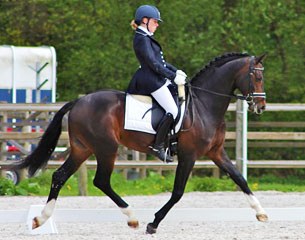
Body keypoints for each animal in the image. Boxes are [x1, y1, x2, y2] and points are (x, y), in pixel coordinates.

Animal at [12, 52, 266, 234]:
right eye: (257, 77)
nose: (261, 107)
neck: (204, 105)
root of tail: (78, 101)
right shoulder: (189, 155)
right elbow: (178, 192)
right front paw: (153, 224)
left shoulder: (216, 152)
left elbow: (240, 178)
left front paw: (261, 213)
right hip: (106, 148)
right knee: (101, 181)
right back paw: (132, 218)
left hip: (82, 148)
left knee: (60, 176)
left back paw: (40, 219)